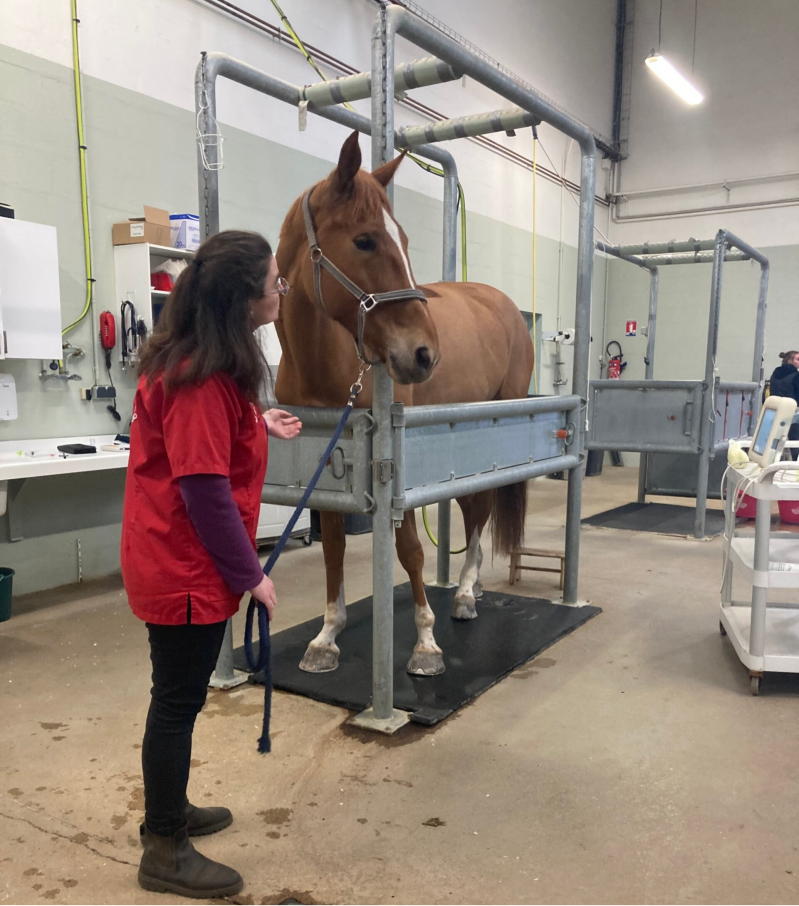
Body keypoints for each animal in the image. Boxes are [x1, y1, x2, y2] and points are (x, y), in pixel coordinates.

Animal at [275, 131, 534, 677]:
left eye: (406, 242)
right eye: (365, 240)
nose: (424, 354)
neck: (322, 359)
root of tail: (502, 304)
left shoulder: (393, 469)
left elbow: (410, 550)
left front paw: (425, 644)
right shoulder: (330, 467)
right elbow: (333, 550)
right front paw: (327, 636)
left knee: (478, 512)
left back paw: (465, 594)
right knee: (472, 510)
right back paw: (473, 586)